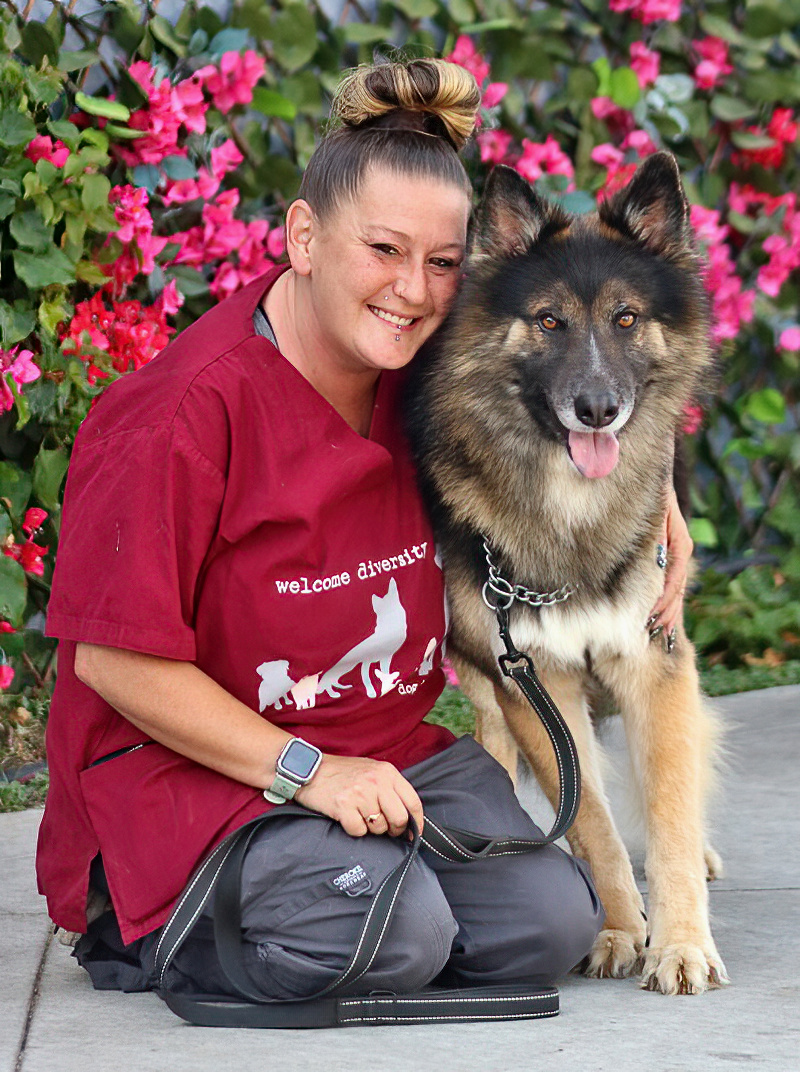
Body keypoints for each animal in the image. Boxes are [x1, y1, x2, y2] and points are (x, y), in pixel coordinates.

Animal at [405, 152, 728, 995]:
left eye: (626, 319)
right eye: (549, 321)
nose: (597, 409)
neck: (570, 512)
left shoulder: (653, 659)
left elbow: (669, 811)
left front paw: (681, 942)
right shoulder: (531, 678)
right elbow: (589, 819)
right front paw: (618, 928)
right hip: (480, 671)